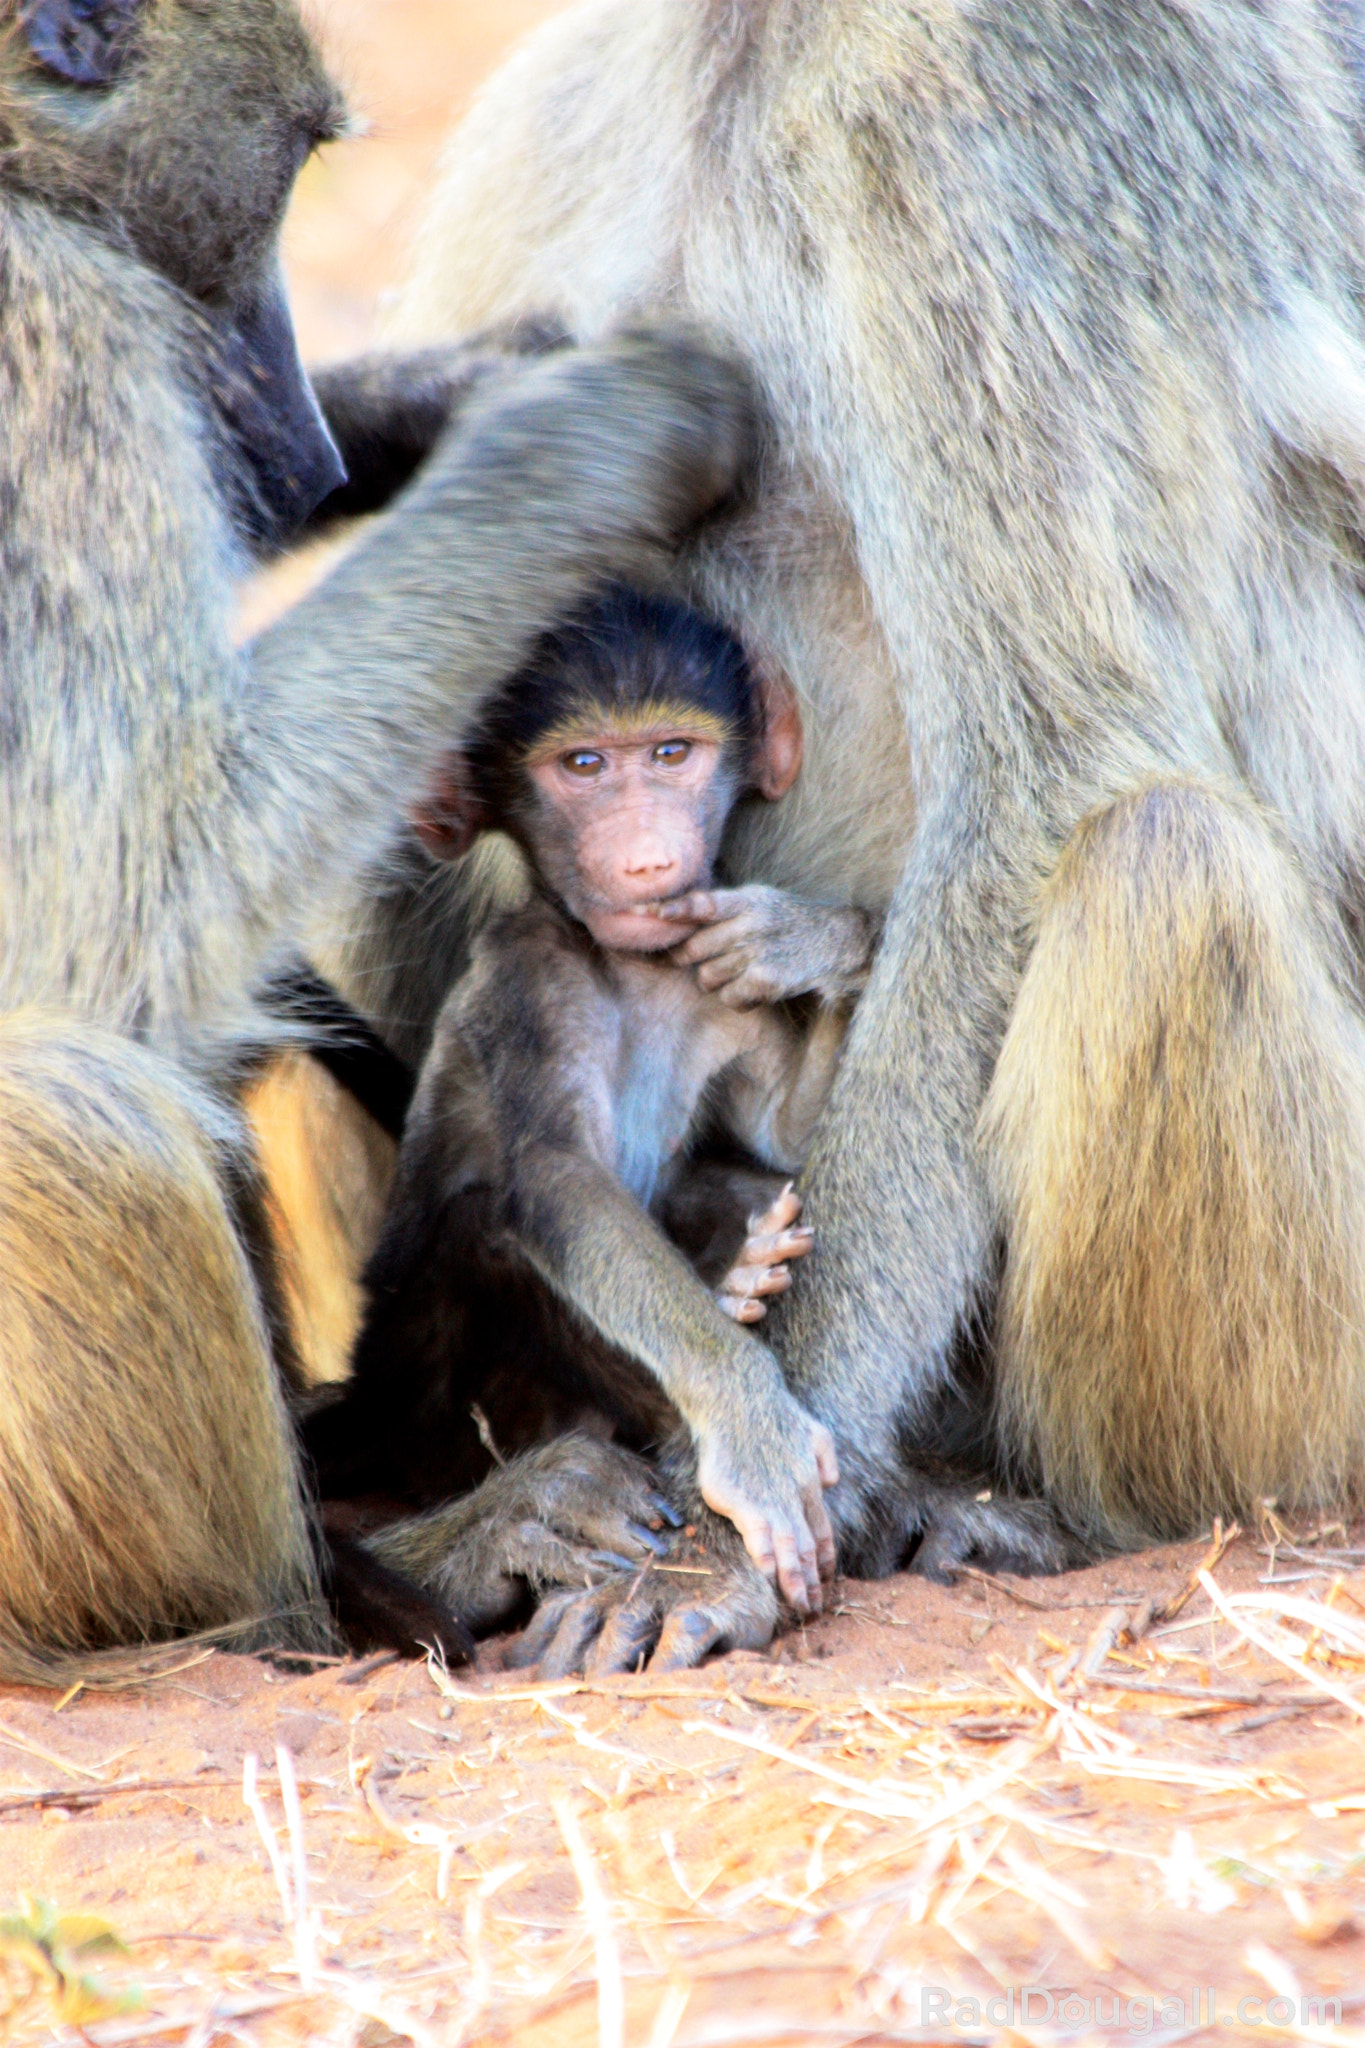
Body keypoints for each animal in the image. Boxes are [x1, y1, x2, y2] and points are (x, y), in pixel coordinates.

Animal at [0, 0, 758, 1681]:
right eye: (288, 168)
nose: (304, 459)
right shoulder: (62, 344)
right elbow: (137, 884)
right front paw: (595, 424)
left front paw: (458, 391)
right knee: (83, 1104)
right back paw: (373, 1581)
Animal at [304, 585, 883, 1618]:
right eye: (582, 767)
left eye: (670, 754)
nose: (648, 859)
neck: (632, 969)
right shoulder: (532, 981)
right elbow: (559, 1180)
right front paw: (749, 1419)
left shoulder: (712, 983)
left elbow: (785, 1132)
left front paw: (811, 938)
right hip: (428, 1402)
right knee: (489, 1227)